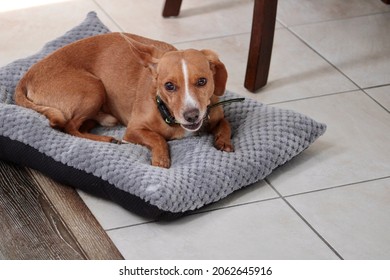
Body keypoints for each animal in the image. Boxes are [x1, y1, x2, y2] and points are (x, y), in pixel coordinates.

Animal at [15, 32, 233, 168]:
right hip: (94, 88)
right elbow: (158, 138)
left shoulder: (215, 115)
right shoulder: (134, 130)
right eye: (169, 86)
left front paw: (224, 142)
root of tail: (26, 77)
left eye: (202, 81)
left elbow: (226, 124)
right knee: (69, 127)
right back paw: (107, 139)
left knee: (81, 126)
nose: (191, 115)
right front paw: (161, 159)